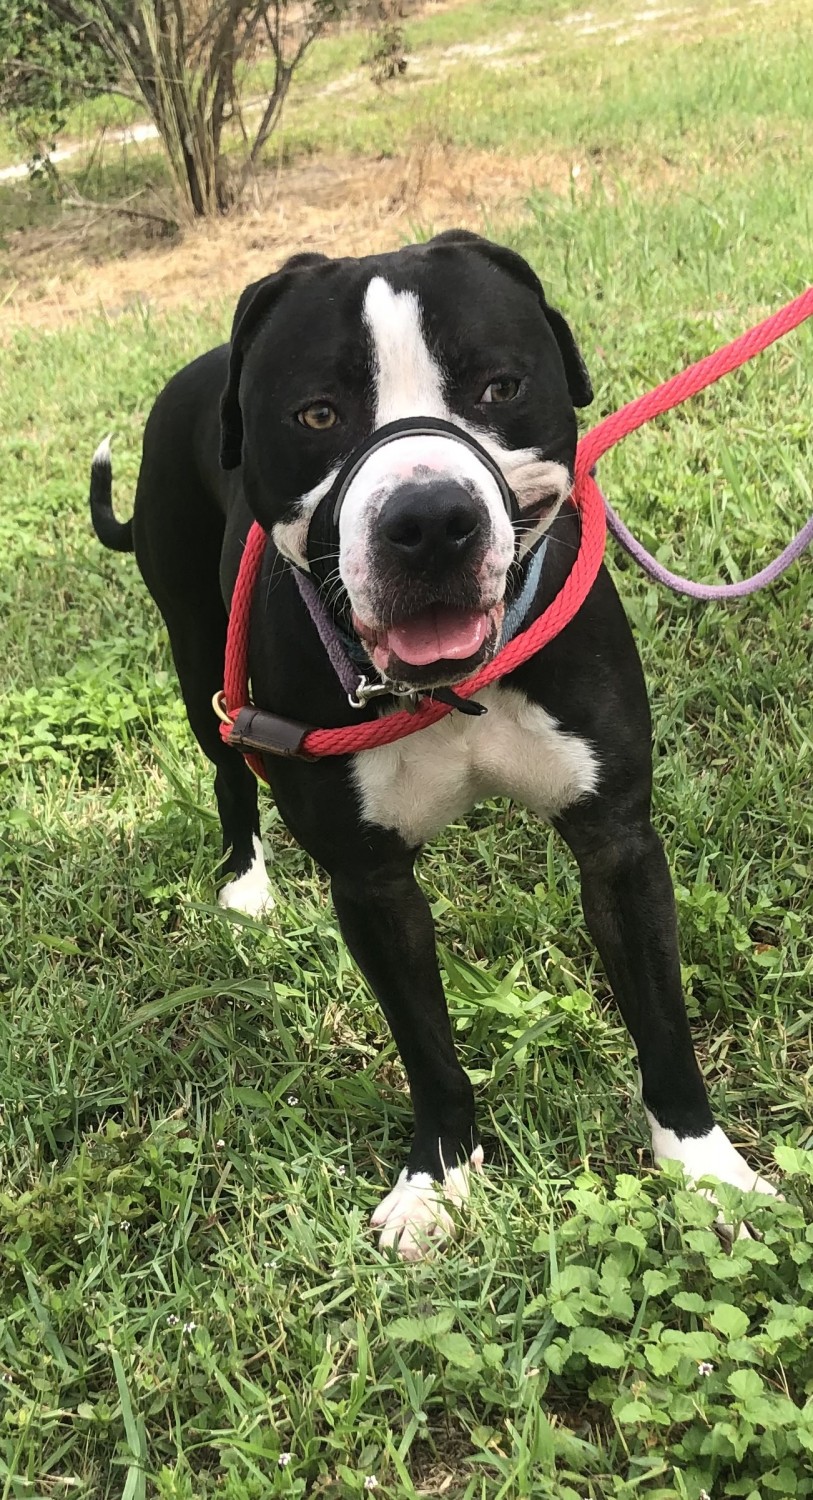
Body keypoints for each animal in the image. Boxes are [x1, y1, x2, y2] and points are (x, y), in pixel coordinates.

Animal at [89, 228, 780, 1260]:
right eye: (317, 413)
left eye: (498, 386)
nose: (427, 522)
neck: (452, 693)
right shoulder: (370, 884)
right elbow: (424, 1041)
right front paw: (439, 1177)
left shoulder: (617, 842)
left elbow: (660, 1016)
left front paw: (705, 1170)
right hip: (195, 656)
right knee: (227, 773)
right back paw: (245, 884)